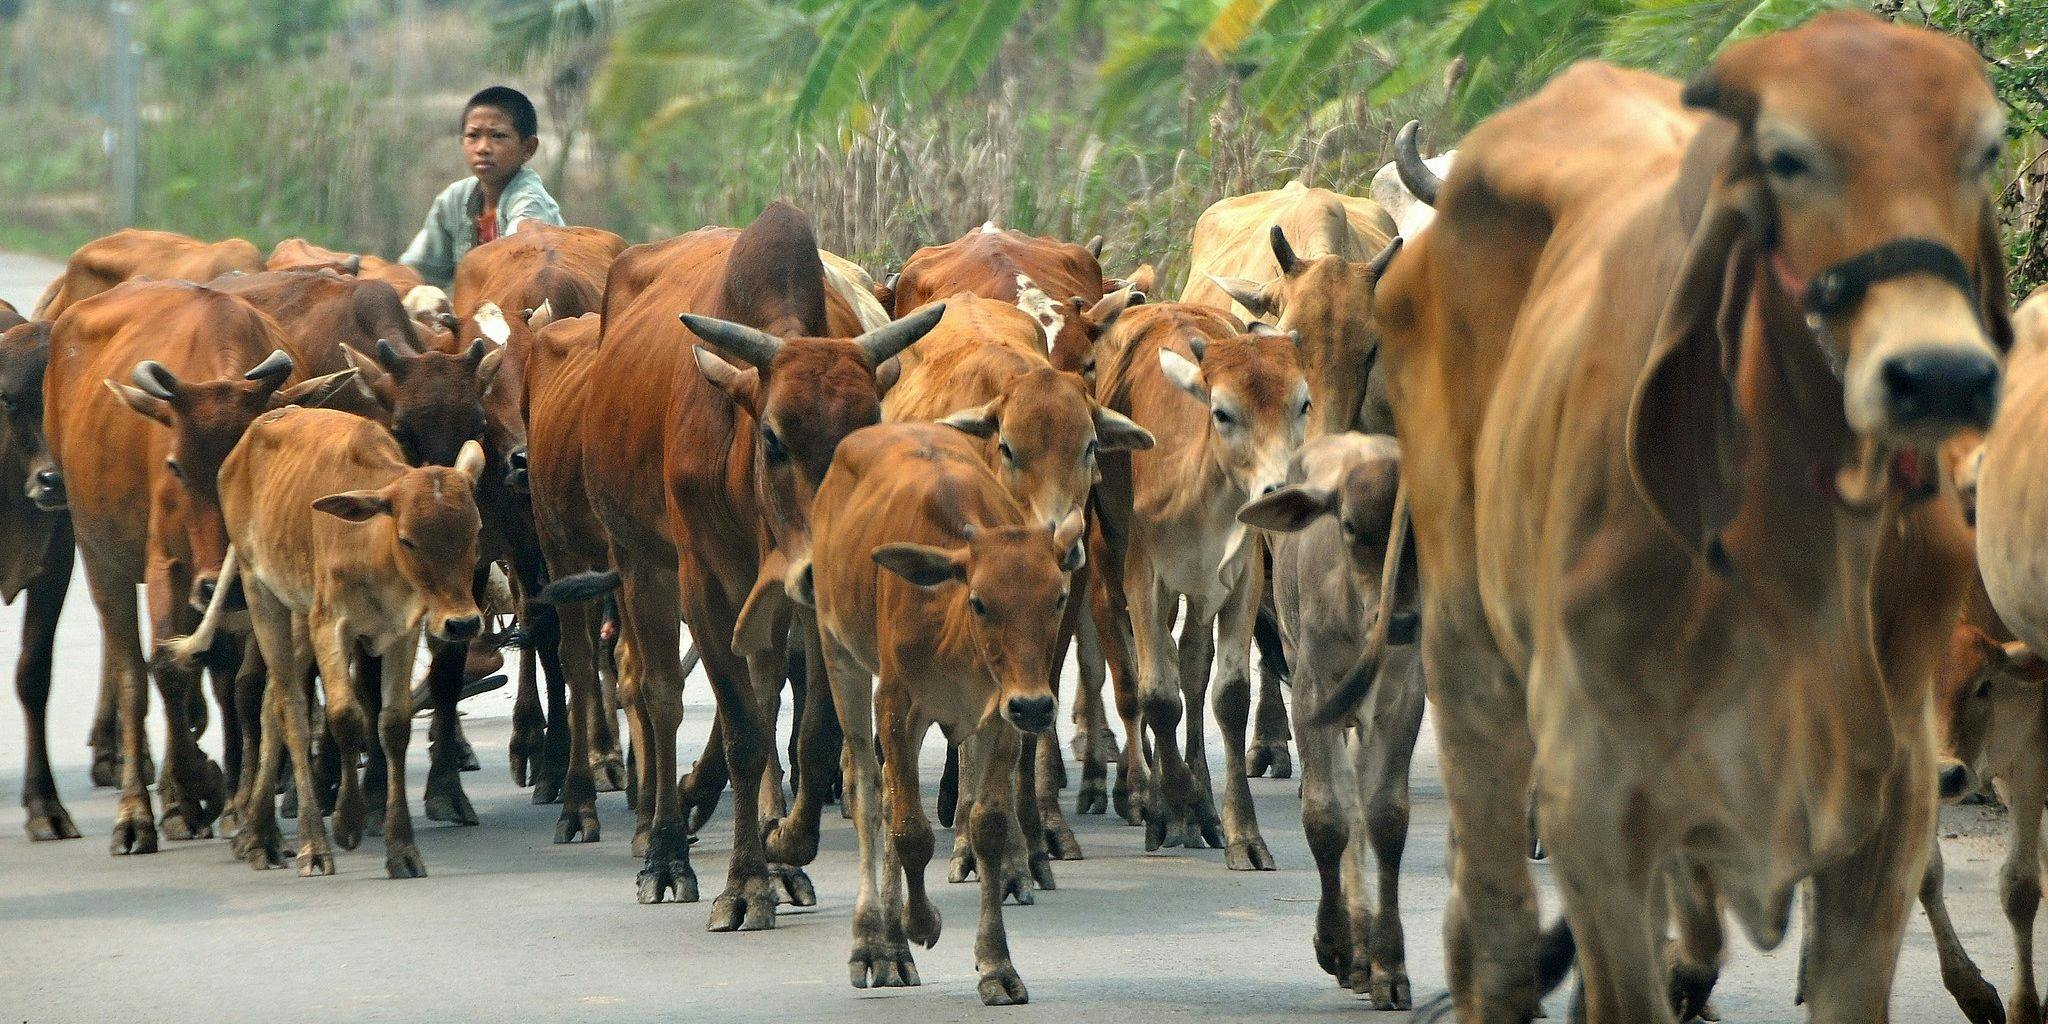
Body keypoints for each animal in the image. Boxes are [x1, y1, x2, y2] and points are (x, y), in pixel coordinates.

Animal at [171, 403, 483, 876]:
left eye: (475, 532)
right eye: (408, 539)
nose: (462, 624)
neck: (372, 544)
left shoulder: (403, 631)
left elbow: (393, 724)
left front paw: (402, 849)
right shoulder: (331, 624)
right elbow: (344, 717)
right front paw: (348, 823)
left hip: (299, 615)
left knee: (271, 705)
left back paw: (259, 834)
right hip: (263, 593)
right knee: (290, 711)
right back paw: (306, 843)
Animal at [798, 419, 1089, 1003]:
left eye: (1057, 597)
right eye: (979, 601)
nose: (1036, 705)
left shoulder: (999, 718)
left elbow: (988, 827)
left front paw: (997, 964)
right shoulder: (895, 705)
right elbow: (910, 831)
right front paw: (919, 923)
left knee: (893, 798)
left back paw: (892, 945)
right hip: (841, 658)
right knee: (870, 792)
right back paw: (876, 941)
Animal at [1089, 303, 1310, 864]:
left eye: (1303, 404)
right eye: (1222, 412)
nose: (1279, 489)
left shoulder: (1242, 581)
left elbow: (1227, 695)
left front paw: (1241, 832)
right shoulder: (1144, 579)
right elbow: (1157, 695)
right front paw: (1165, 812)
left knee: (1191, 665)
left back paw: (1202, 804)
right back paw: (1157, 797)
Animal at [1368, 12, 2007, 1019]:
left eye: (1984, 151)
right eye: (1788, 158)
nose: (1938, 373)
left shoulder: (1890, 791)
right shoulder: (1597, 781)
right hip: (1470, 655)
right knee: (1495, 920)